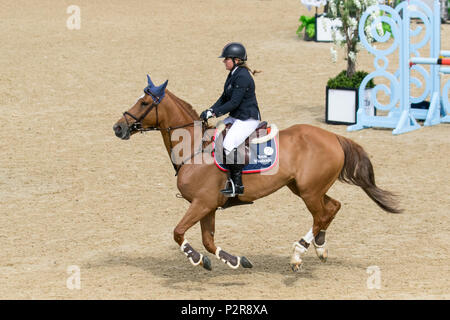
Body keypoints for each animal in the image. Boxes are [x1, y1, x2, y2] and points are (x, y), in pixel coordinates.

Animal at [112, 75, 400, 272]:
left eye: (144, 102)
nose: (118, 127)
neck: (194, 148)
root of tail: (333, 137)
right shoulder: (208, 206)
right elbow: (207, 241)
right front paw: (234, 260)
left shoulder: (202, 203)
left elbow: (178, 232)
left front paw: (196, 258)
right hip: (305, 188)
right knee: (332, 208)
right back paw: (319, 247)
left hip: (309, 191)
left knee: (321, 215)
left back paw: (298, 253)